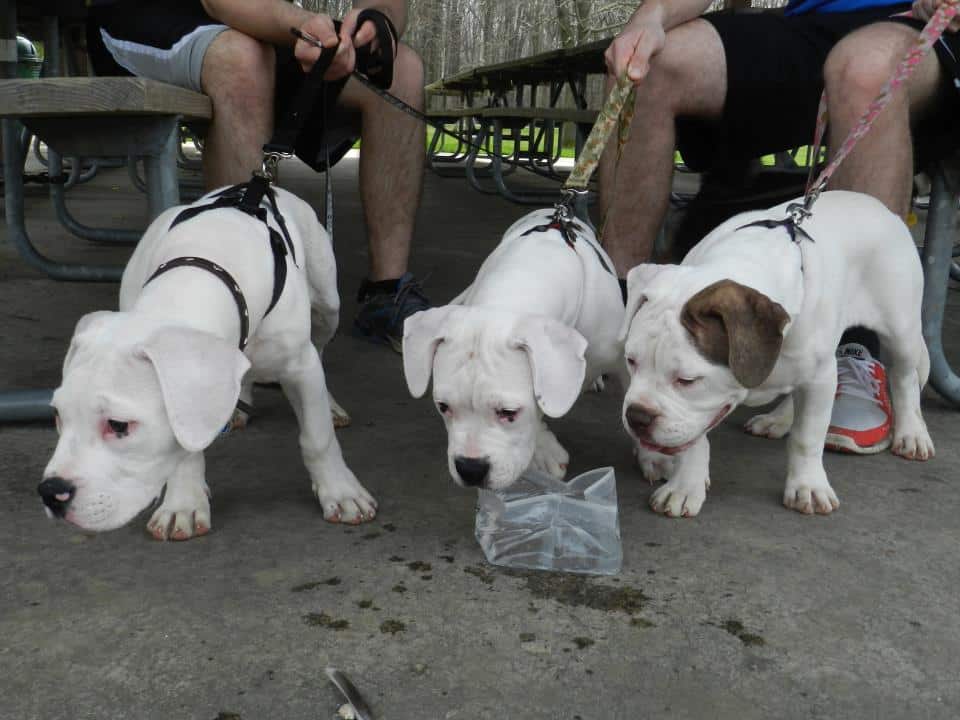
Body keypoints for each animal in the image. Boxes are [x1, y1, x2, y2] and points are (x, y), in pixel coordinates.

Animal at [42, 187, 378, 540]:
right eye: (57, 415)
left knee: (321, 346)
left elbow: (317, 436)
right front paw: (184, 503)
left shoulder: (300, 365)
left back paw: (330, 405)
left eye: (119, 425)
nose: (50, 493)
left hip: (328, 307)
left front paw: (341, 492)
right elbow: (184, 446)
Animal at [620, 191, 932, 516]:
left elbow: (807, 437)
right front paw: (684, 487)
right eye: (631, 362)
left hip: (901, 331)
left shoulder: (820, 378)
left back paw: (911, 433)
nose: (637, 416)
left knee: (904, 379)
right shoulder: (697, 414)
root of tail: (876, 205)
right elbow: (693, 443)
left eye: (687, 380)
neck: (744, 260)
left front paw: (809, 486)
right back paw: (779, 420)